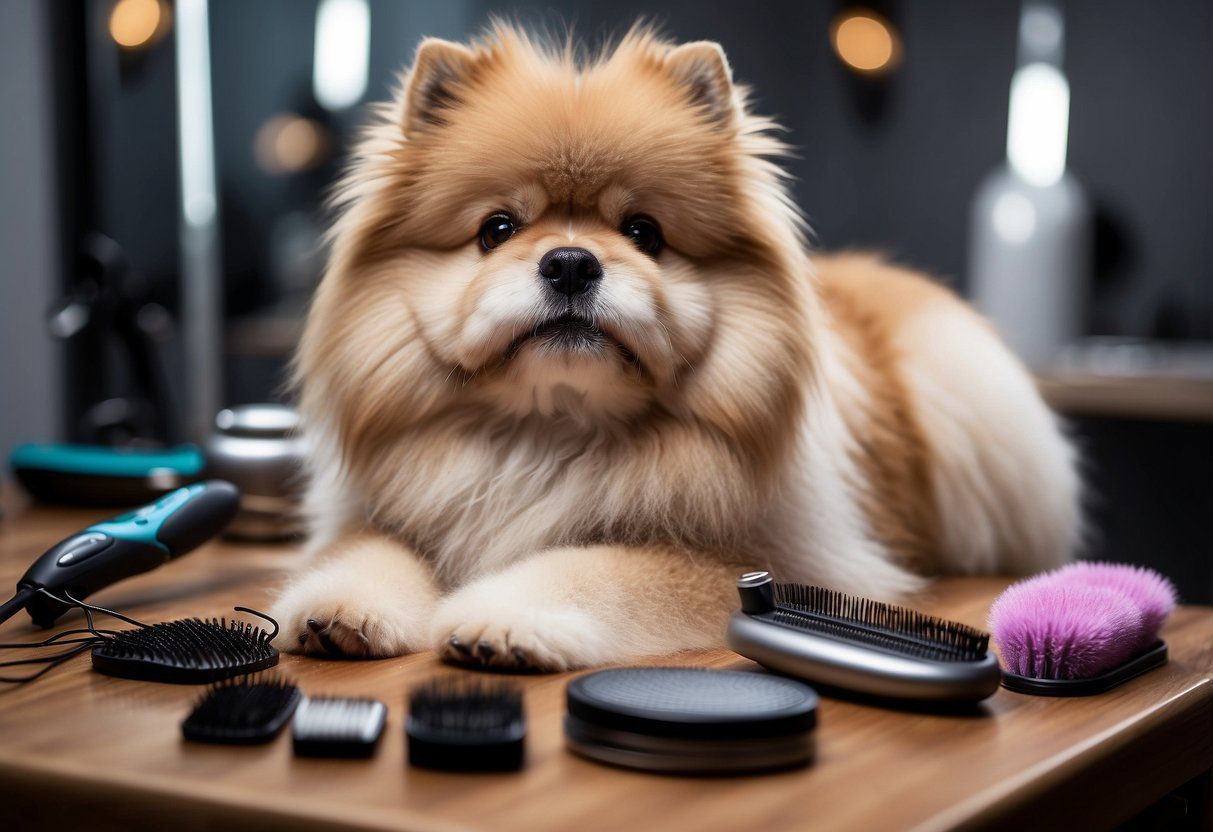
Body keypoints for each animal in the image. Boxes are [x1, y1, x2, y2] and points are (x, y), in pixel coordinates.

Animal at [275, 22, 1081, 669]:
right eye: (496, 229)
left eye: (644, 233)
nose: (571, 262)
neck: (549, 433)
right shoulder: (385, 513)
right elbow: (368, 552)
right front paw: (339, 611)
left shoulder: (771, 566)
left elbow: (593, 569)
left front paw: (503, 622)